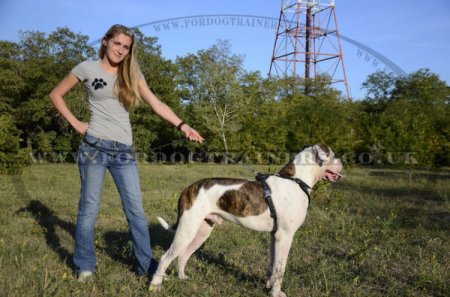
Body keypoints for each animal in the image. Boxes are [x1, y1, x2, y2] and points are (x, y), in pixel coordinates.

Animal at [149, 143, 342, 294]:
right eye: (333, 155)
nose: (342, 162)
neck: (295, 180)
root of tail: (188, 188)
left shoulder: (275, 236)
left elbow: (273, 265)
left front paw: (268, 286)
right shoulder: (285, 236)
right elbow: (280, 268)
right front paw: (276, 292)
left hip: (201, 231)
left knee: (183, 255)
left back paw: (182, 277)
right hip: (186, 230)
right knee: (165, 258)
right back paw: (155, 285)